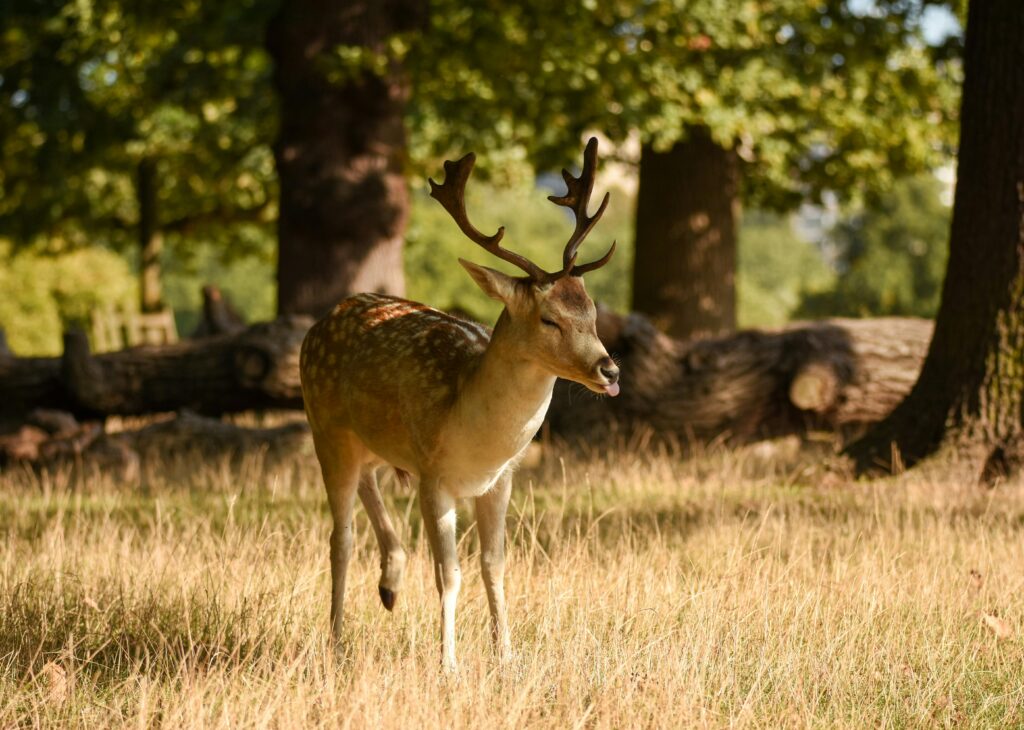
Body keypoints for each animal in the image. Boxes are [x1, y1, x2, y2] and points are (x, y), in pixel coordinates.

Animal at [299, 137, 620, 672]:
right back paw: (337, 643)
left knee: (368, 484)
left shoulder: (502, 479)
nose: (610, 370)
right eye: (550, 319)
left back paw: (390, 585)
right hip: (325, 427)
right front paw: (448, 664)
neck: (473, 434)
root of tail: (324, 319)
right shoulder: (433, 475)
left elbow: (495, 565)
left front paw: (506, 655)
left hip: (372, 442)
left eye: (592, 311)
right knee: (339, 538)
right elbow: (449, 574)